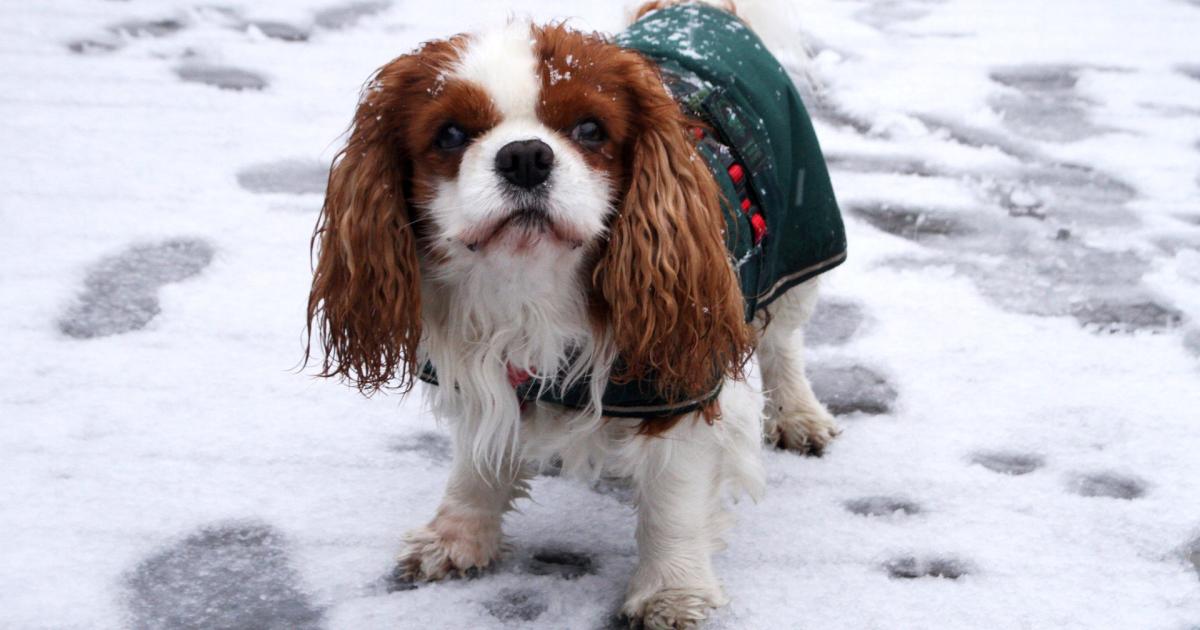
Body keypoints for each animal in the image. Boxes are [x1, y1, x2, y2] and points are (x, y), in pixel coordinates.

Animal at [304, 1, 849, 624]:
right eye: (450, 134)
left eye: (590, 130)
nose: (525, 156)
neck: (530, 291)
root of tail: (696, 10)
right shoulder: (478, 366)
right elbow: (476, 459)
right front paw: (458, 535)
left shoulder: (683, 380)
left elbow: (676, 498)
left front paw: (671, 591)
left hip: (796, 246)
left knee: (783, 343)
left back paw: (797, 415)